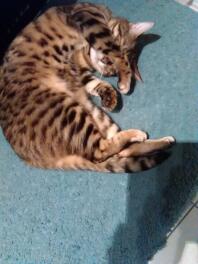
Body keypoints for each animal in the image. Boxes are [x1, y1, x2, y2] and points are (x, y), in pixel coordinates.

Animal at [0, 3, 175, 172]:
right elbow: (111, 50)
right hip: (69, 112)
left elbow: (94, 82)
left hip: (88, 113)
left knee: (116, 150)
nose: (110, 68)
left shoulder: (80, 68)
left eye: (113, 72)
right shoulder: (86, 17)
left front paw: (112, 95)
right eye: (121, 48)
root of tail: (30, 159)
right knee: (103, 152)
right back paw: (144, 136)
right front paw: (125, 79)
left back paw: (162, 141)